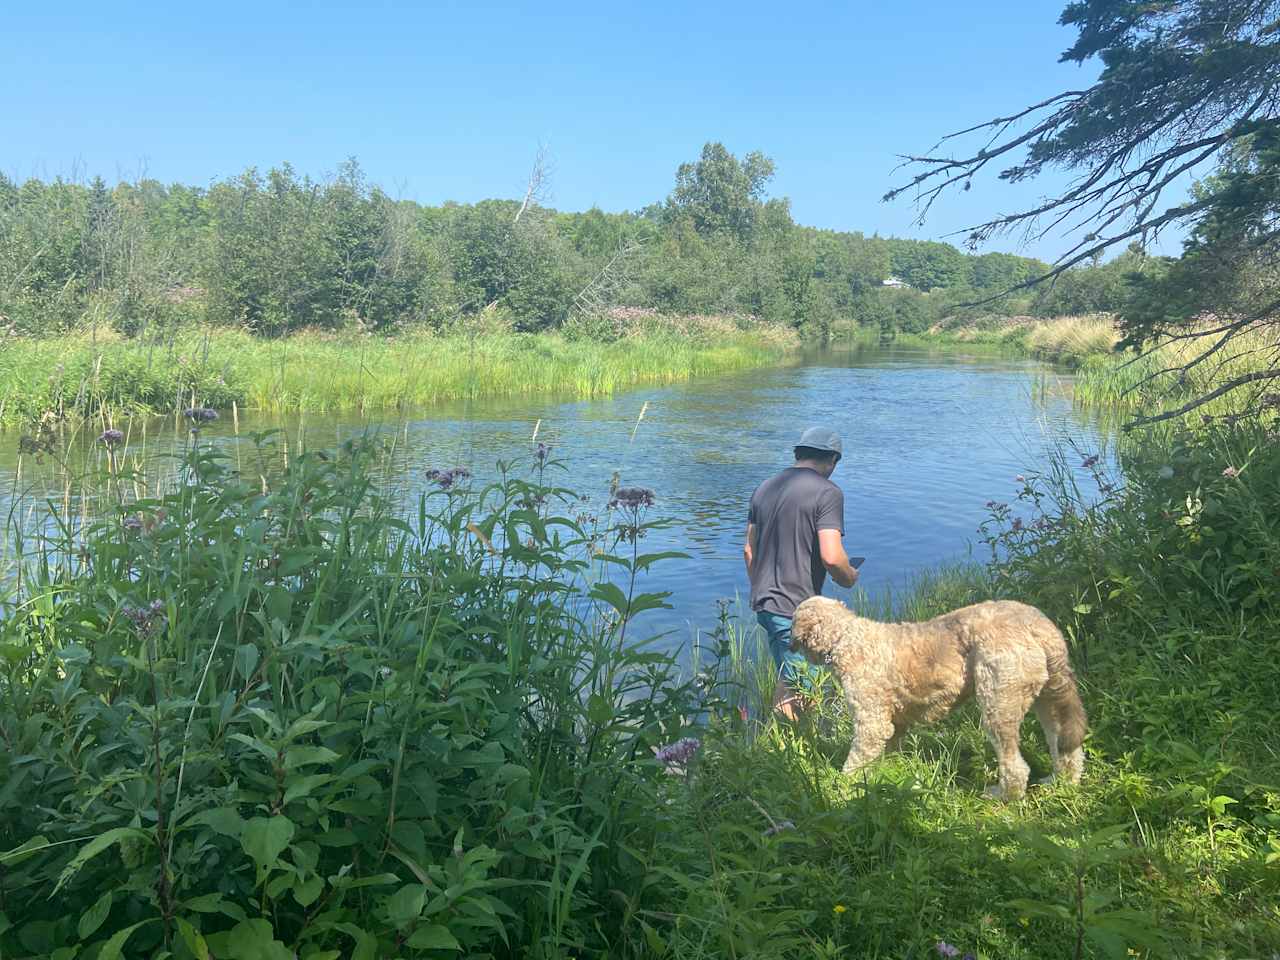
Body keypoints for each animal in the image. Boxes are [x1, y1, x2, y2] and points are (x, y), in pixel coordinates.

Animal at [793, 599, 1085, 798]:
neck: (845, 637)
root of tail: (1039, 627)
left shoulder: (871, 721)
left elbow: (857, 758)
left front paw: (844, 786)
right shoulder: (896, 723)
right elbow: (888, 749)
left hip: (999, 702)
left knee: (1015, 766)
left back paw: (1003, 796)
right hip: (1048, 699)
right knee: (1066, 748)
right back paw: (1061, 782)